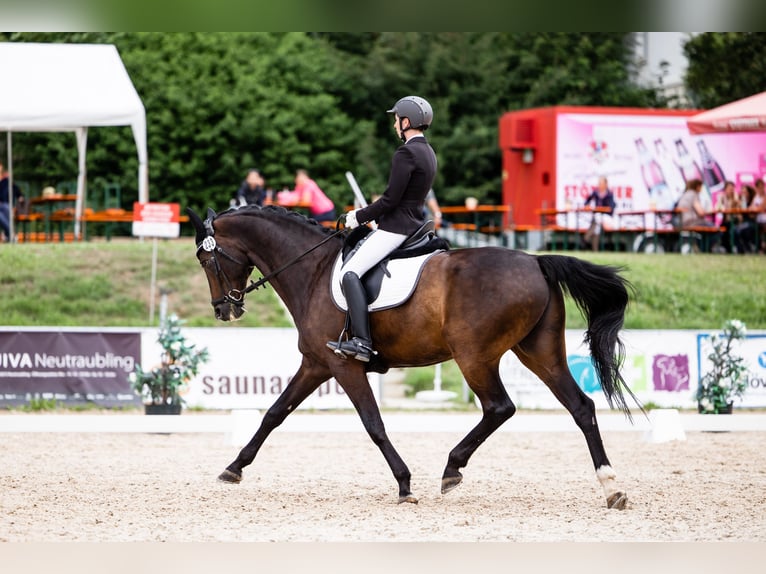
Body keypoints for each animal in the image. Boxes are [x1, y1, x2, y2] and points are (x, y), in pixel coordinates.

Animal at [189, 205, 640, 510]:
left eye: (206, 258)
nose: (224, 310)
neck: (312, 270)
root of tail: (535, 262)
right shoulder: (316, 364)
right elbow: (274, 413)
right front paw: (234, 467)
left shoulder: (343, 365)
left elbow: (374, 425)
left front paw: (405, 485)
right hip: (539, 351)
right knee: (581, 407)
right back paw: (612, 487)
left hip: (474, 356)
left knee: (500, 407)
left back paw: (452, 469)